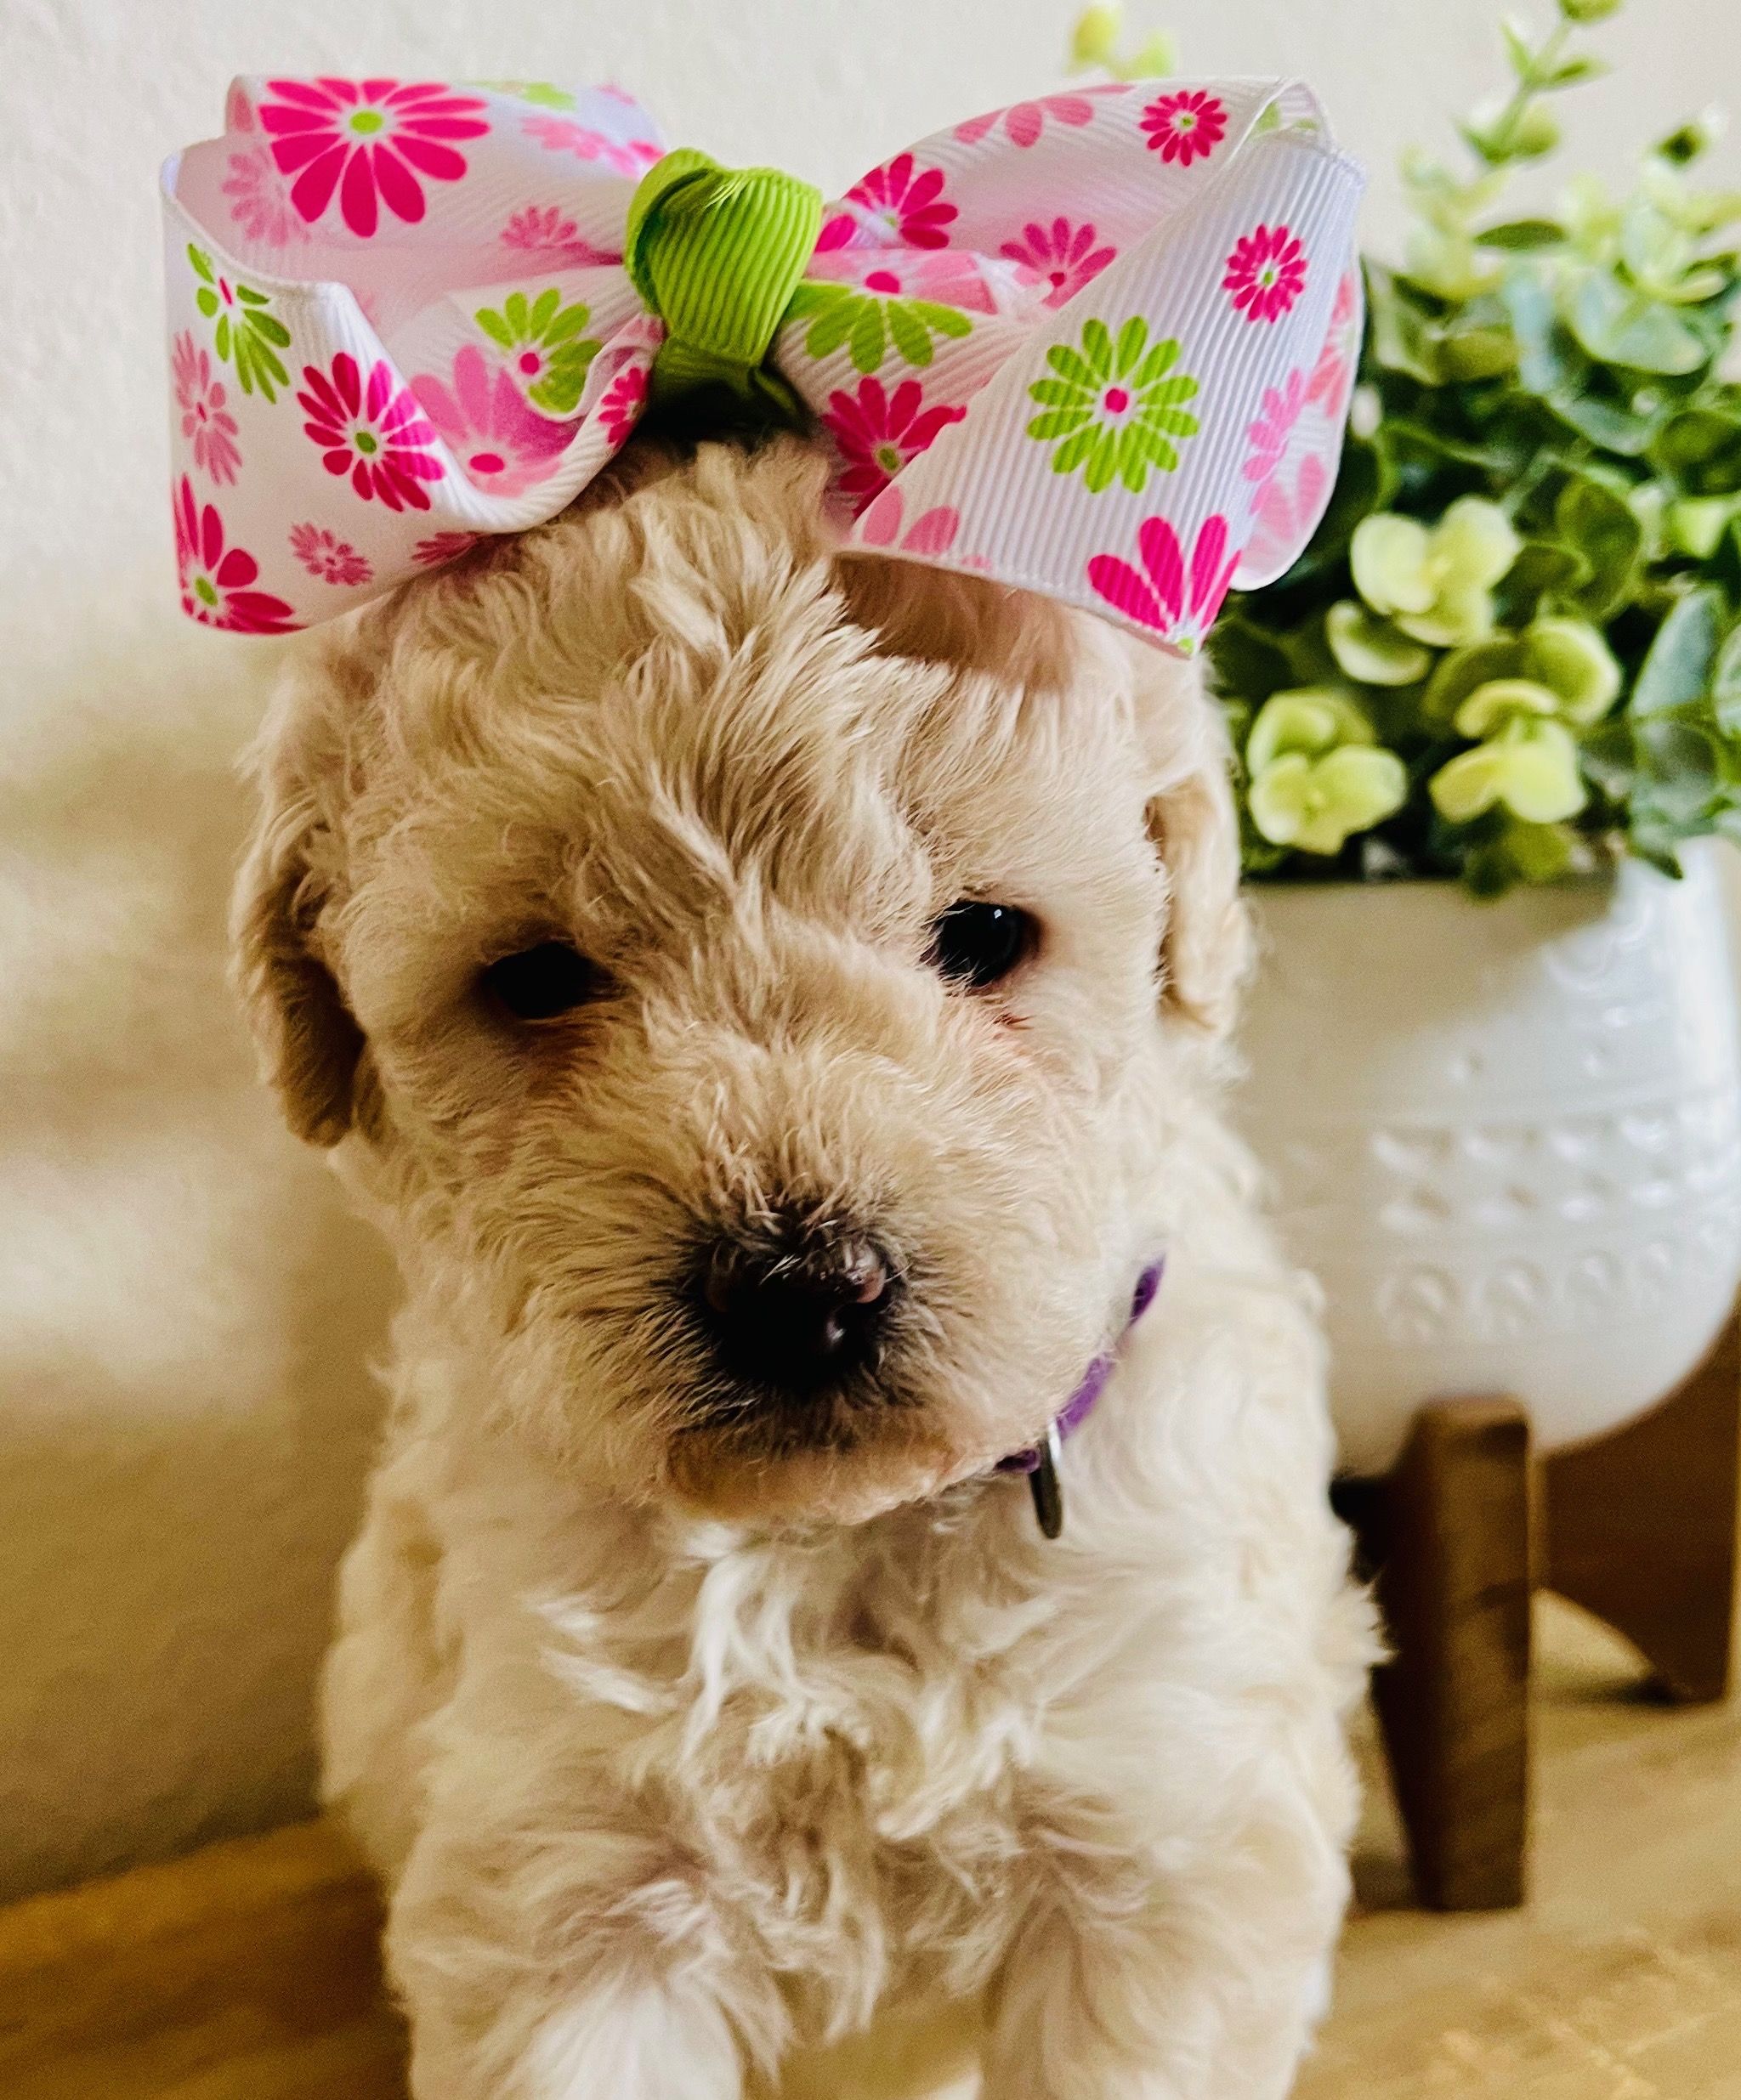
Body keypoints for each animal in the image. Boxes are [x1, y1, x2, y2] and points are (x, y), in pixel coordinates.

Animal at [233, 432, 1371, 2100]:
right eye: (535, 978)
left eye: (984, 935)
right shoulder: (572, 1883)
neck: (841, 1544)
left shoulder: (1155, 1836)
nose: (804, 1291)